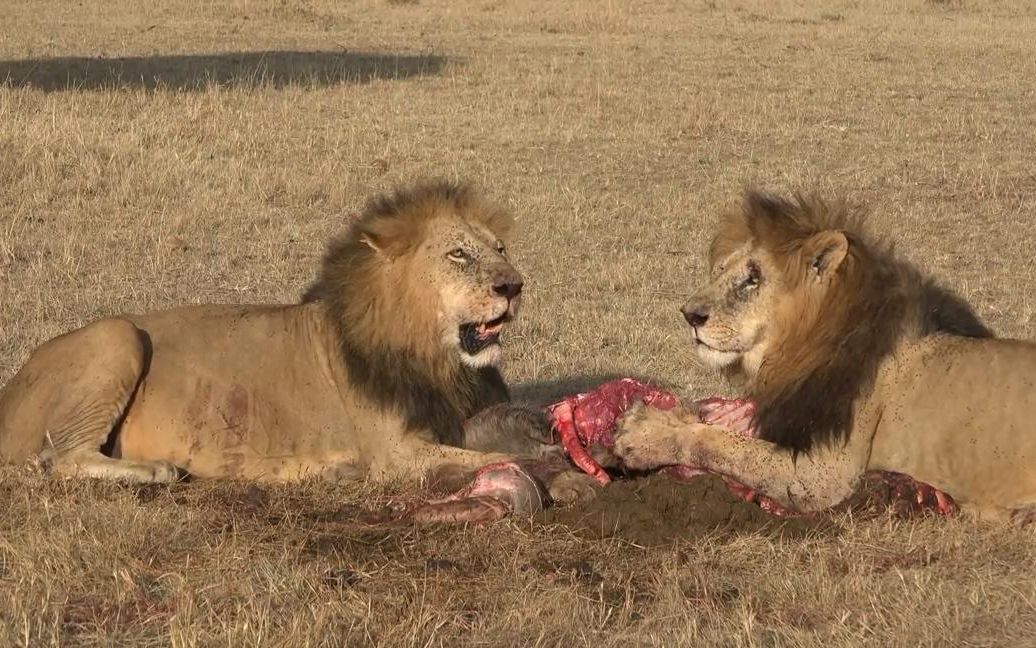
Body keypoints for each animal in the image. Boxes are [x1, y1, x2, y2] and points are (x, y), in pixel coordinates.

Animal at [609, 190, 1036, 520]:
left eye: (753, 278)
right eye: (720, 270)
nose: (689, 315)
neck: (798, 352)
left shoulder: (827, 474)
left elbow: (721, 445)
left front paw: (644, 433)